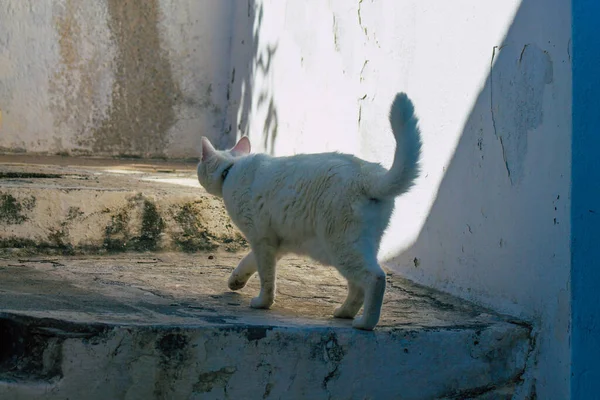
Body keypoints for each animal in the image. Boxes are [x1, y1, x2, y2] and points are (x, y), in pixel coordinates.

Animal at [197, 94, 422, 332]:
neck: (230, 169)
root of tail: (367, 175)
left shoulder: (261, 240)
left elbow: (266, 277)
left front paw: (262, 303)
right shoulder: (277, 243)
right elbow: (248, 262)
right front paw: (236, 280)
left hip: (340, 246)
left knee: (375, 278)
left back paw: (365, 323)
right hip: (348, 247)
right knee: (358, 286)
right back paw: (344, 313)